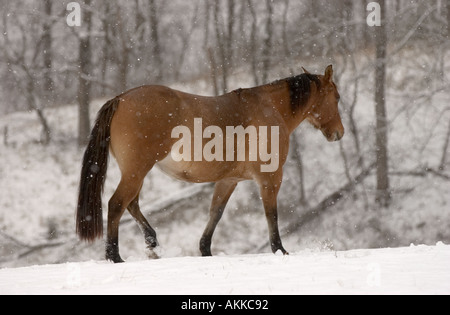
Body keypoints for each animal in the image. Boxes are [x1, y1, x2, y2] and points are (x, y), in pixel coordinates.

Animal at [77, 65, 344, 264]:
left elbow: (215, 212)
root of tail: (120, 99)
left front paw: (205, 249)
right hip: (136, 171)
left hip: (137, 172)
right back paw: (115, 256)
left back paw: (153, 244)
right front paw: (279, 250)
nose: (338, 133)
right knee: (117, 204)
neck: (270, 109)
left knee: (131, 204)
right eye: (337, 97)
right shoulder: (270, 178)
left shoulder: (229, 180)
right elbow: (271, 214)